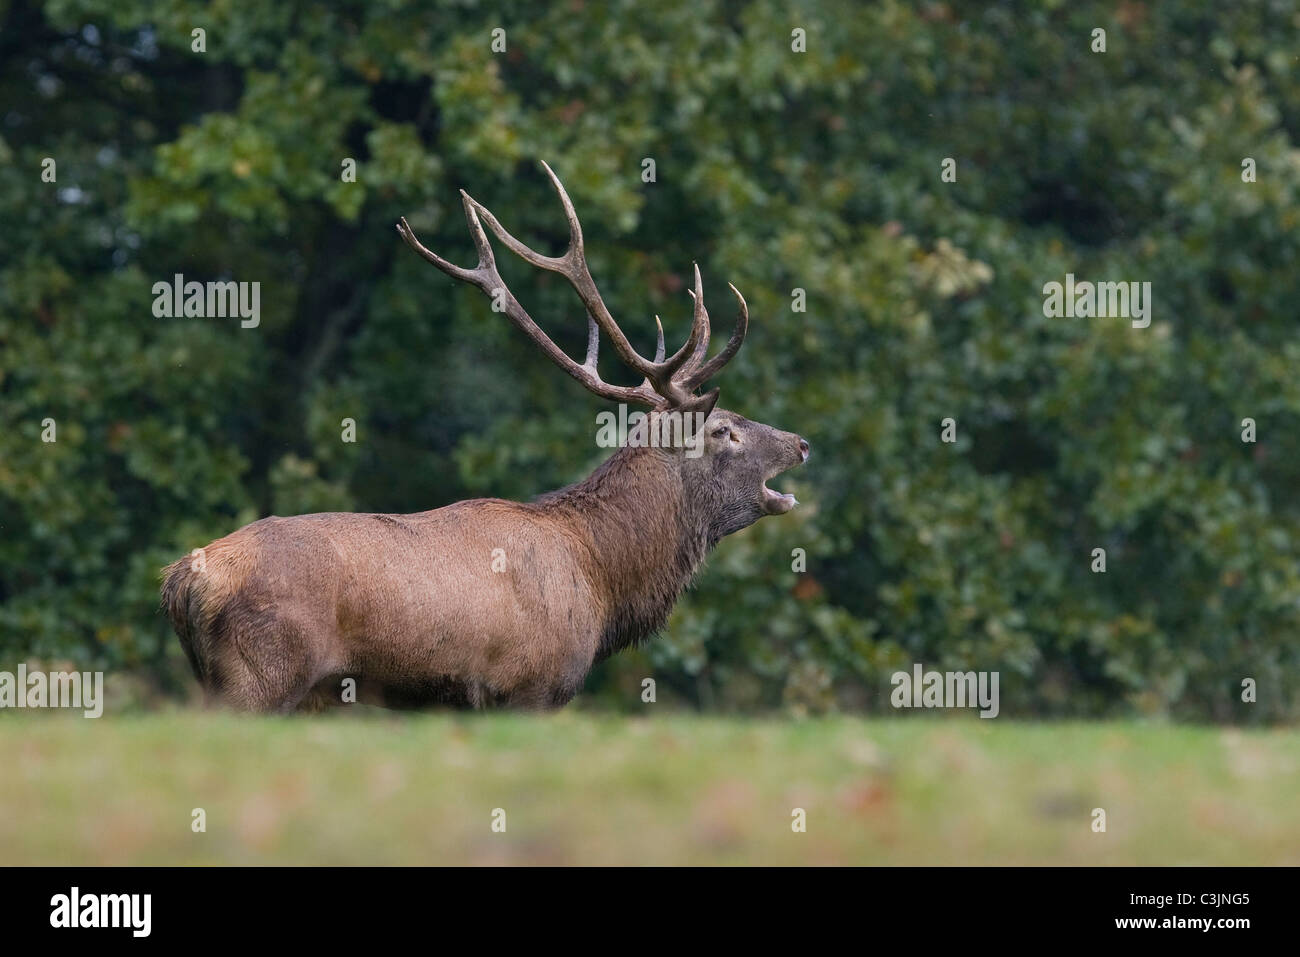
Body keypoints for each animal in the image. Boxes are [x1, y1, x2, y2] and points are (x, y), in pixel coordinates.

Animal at [161, 162, 809, 712]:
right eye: (724, 429)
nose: (801, 443)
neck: (601, 583)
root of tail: (186, 578)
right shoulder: (530, 686)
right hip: (262, 675)